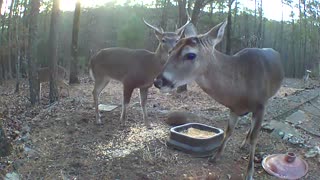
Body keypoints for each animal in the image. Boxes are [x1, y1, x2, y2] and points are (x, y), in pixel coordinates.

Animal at [154, 21, 284, 180]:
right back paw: (243, 143)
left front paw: (249, 173)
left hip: (269, 97)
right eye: (171, 51)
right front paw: (215, 157)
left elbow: (255, 138)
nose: (158, 81)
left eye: (190, 54)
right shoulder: (234, 108)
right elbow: (229, 131)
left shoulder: (260, 104)